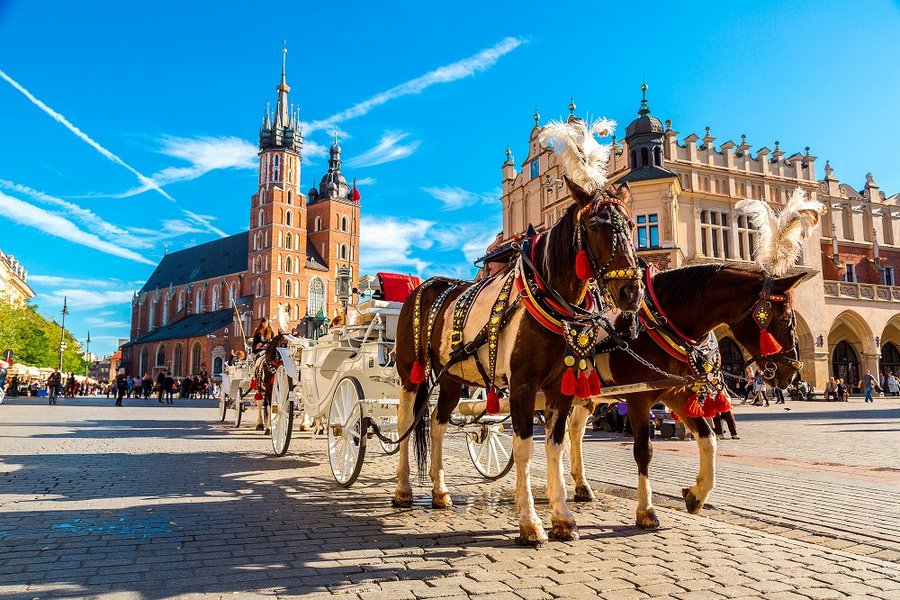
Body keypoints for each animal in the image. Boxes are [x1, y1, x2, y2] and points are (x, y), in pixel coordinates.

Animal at [394, 177, 640, 544]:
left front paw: (563, 517)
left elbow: (556, 445)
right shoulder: (523, 386)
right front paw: (530, 522)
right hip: (411, 372)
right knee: (405, 423)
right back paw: (403, 489)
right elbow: (524, 448)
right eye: (596, 226)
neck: (548, 300)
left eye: (633, 225)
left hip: (451, 378)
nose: (631, 291)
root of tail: (424, 286)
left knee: (437, 425)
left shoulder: (560, 389)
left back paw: (440, 492)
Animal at [576, 264, 808, 528]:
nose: (792, 372)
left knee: (574, 432)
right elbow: (643, 451)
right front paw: (646, 511)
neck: (658, 325)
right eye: (786, 319)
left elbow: (709, 439)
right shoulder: (638, 398)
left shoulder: (676, 392)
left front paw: (697, 494)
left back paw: (581, 487)